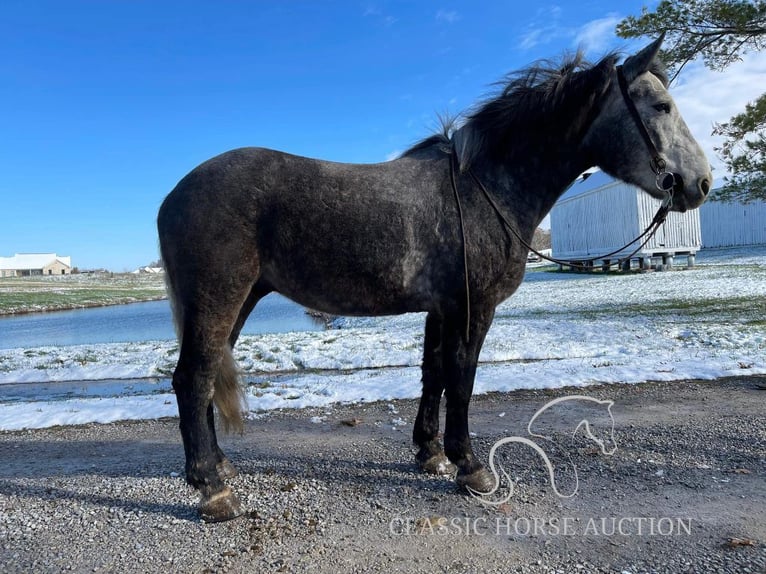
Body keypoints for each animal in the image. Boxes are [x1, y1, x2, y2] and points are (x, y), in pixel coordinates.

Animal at [158, 33, 712, 524]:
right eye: (661, 106)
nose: (700, 183)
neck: (484, 186)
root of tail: (173, 196)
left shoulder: (441, 310)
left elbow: (434, 376)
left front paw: (430, 454)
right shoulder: (473, 308)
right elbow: (462, 380)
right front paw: (470, 466)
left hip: (239, 300)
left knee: (204, 378)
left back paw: (218, 468)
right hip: (220, 298)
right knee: (193, 378)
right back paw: (213, 490)